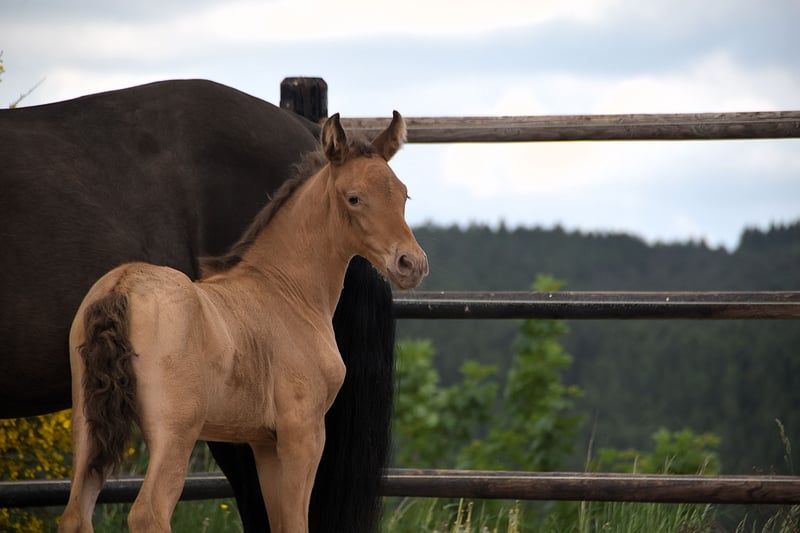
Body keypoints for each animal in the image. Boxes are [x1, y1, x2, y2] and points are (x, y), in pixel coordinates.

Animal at [0, 80, 397, 532]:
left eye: (403, 195)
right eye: (354, 198)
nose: (410, 262)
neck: (281, 291)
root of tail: (122, 286)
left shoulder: (264, 440)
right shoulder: (303, 431)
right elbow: (295, 520)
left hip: (94, 426)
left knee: (77, 512)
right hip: (177, 432)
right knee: (149, 511)